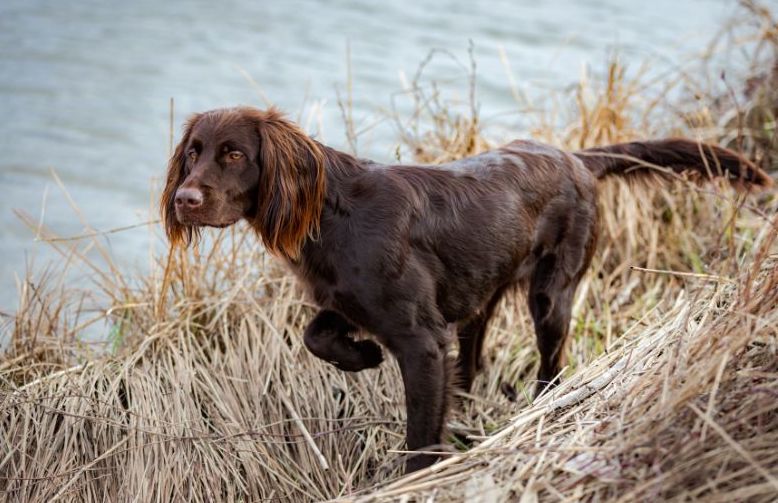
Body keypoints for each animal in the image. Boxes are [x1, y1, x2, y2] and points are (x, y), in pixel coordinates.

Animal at [159, 106, 768, 472]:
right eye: (193, 152)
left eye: (234, 153)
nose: (185, 199)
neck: (334, 213)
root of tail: (575, 156)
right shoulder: (349, 303)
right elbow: (317, 336)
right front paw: (362, 355)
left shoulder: (422, 341)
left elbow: (420, 435)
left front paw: (411, 478)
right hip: (482, 296)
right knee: (473, 360)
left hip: (552, 295)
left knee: (552, 363)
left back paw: (539, 407)